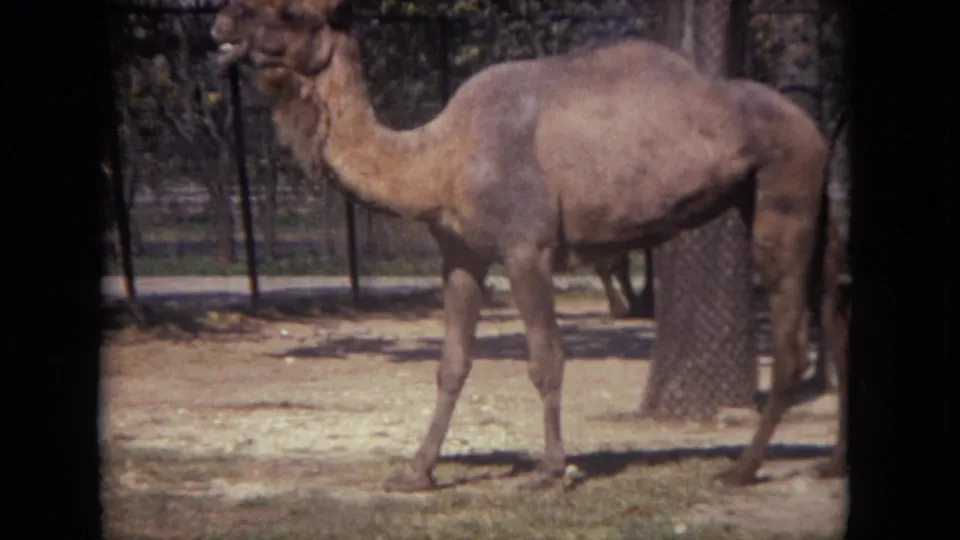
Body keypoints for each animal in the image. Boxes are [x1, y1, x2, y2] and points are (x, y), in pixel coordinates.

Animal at [211, 0, 848, 491]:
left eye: (289, 11)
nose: (222, 22)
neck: (436, 160)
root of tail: (814, 131)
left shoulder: (527, 248)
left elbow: (546, 359)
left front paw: (551, 471)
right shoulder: (461, 256)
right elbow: (451, 363)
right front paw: (416, 472)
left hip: (784, 187)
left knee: (793, 343)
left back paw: (741, 469)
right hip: (798, 200)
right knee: (834, 314)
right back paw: (831, 464)